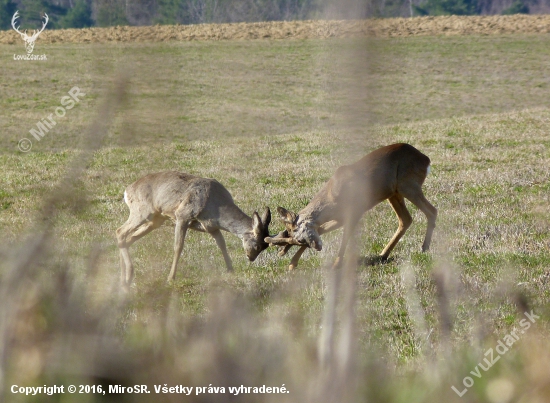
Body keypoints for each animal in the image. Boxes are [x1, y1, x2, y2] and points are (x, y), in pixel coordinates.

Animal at [116, 172, 272, 288]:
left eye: (265, 246)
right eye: (258, 245)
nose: (251, 258)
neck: (216, 203)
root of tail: (127, 191)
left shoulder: (211, 227)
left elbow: (222, 245)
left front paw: (230, 270)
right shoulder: (182, 216)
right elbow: (178, 247)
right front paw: (170, 278)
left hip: (156, 220)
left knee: (128, 238)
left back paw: (123, 279)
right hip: (141, 212)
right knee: (120, 231)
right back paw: (128, 276)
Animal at [266, 144, 440, 270]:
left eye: (298, 233)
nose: (317, 247)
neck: (332, 197)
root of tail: (426, 160)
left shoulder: (355, 211)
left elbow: (344, 237)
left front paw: (336, 265)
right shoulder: (340, 217)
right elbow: (322, 229)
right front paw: (292, 263)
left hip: (408, 185)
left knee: (432, 211)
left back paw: (424, 248)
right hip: (393, 193)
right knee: (406, 219)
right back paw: (383, 254)